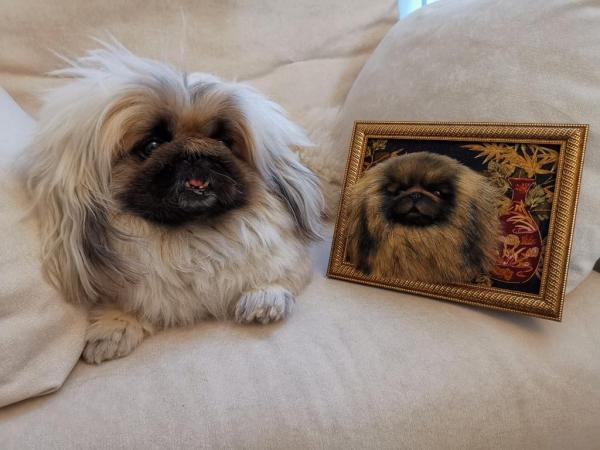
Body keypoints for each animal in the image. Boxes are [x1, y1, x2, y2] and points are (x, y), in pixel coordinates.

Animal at [22, 43, 323, 363]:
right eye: (152, 145)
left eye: (224, 142)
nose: (196, 150)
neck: (191, 237)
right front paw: (113, 327)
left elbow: (277, 275)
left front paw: (264, 297)